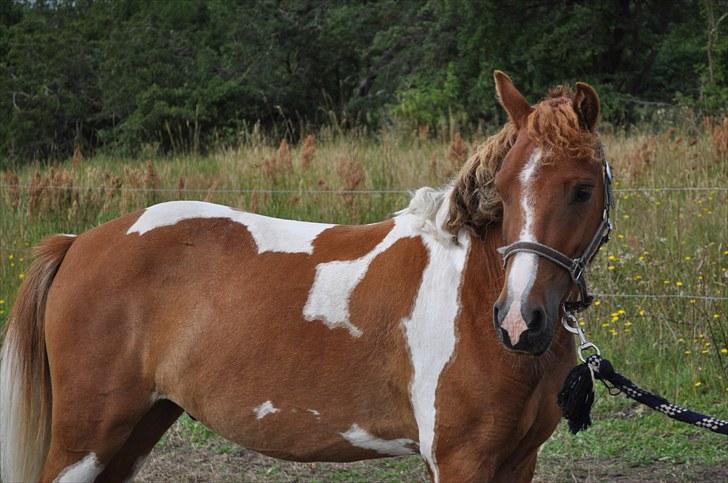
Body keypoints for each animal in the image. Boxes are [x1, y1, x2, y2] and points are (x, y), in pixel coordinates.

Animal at [1, 72, 608, 483]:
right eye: (501, 190)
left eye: (582, 189)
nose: (519, 321)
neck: (475, 290)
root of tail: (77, 243)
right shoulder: (463, 459)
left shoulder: (517, 459)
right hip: (86, 439)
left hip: (138, 427)